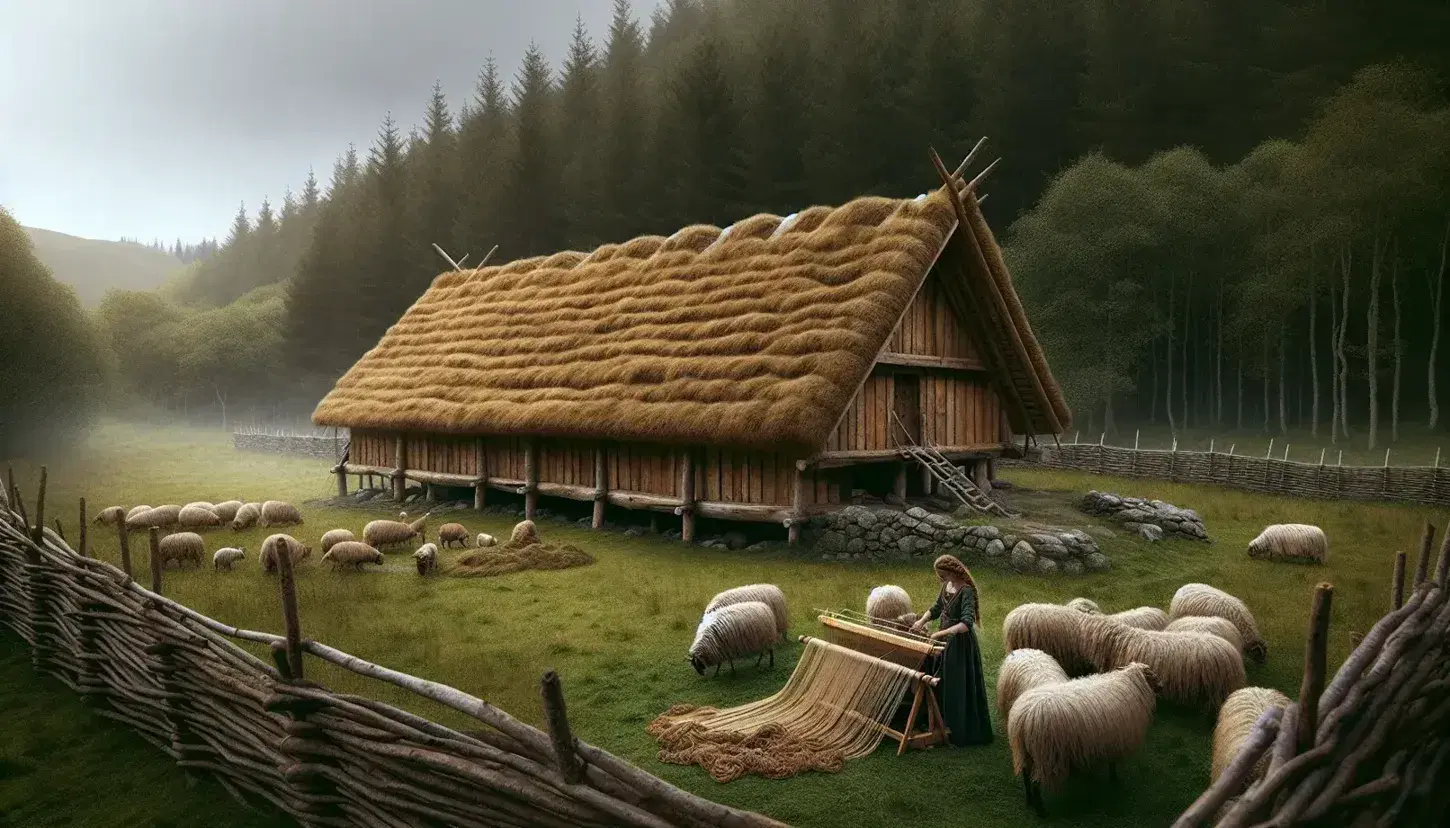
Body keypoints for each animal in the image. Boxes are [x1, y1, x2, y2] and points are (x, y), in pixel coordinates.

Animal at [1003, 664, 1160, 812]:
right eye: (1152, 676)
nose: (1162, 686)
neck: (1130, 685)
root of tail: (1022, 718)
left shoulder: (1108, 739)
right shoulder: (1115, 739)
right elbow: (1112, 763)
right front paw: (1114, 779)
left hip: (1026, 752)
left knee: (1025, 776)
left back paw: (1029, 800)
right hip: (1044, 755)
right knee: (1035, 783)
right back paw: (1041, 811)